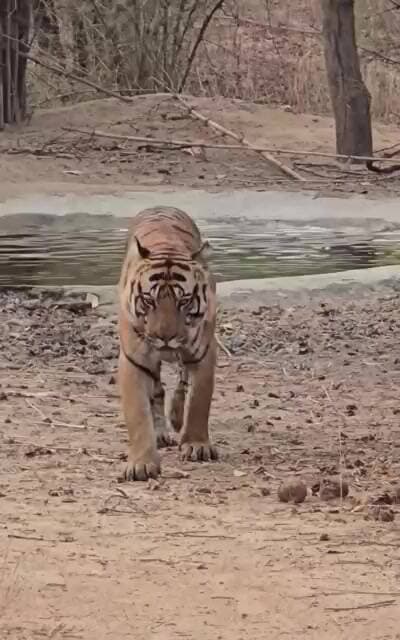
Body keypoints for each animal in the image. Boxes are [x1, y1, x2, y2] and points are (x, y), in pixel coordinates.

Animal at [118, 205, 218, 481]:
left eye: (183, 301)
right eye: (148, 301)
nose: (165, 337)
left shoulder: (203, 354)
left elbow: (199, 401)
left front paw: (196, 445)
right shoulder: (134, 360)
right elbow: (138, 414)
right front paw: (141, 464)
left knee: (182, 383)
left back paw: (176, 418)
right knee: (158, 391)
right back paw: (162, 432)